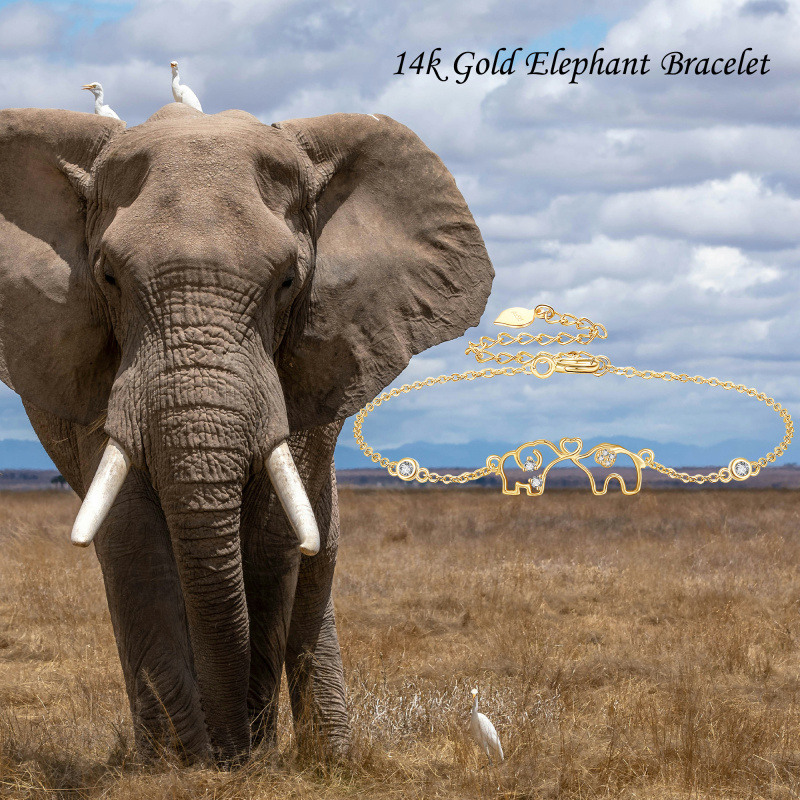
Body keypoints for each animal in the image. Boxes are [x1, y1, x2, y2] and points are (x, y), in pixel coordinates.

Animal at [0, 103, 493, 764]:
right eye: (108, 278)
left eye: (287, 281)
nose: (226, 751)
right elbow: (133, 538)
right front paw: (181, 766)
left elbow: (270, 538)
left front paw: (247, 760)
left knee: (316, 561)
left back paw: (330, 758)